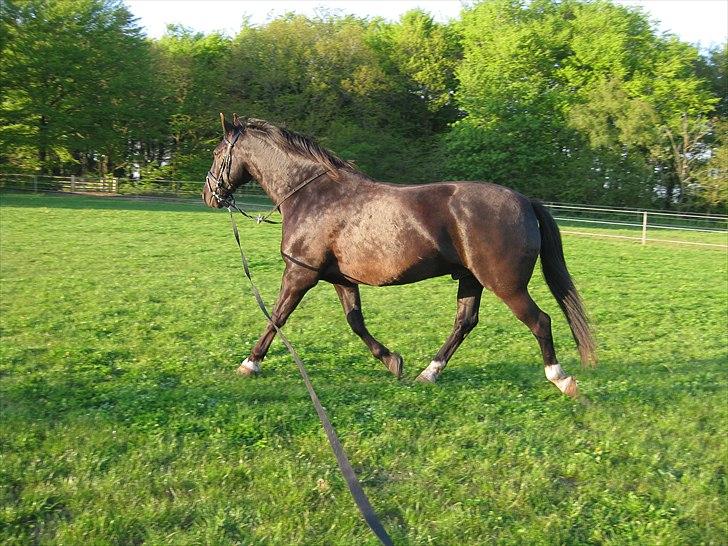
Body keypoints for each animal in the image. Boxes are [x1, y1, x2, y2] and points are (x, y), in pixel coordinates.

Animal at [202, 113, 596, 396]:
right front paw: (392, 361)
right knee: (464, 323)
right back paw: (429, 373)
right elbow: (356, 322)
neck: (312, 194)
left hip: (506, 284)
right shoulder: (341, 280)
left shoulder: (301, 274)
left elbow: (277, 316)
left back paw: (561, 378)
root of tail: (524, 201)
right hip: (471, 279)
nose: (210, 195)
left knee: (540, 321)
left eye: (217, 154)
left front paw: (250, 363)